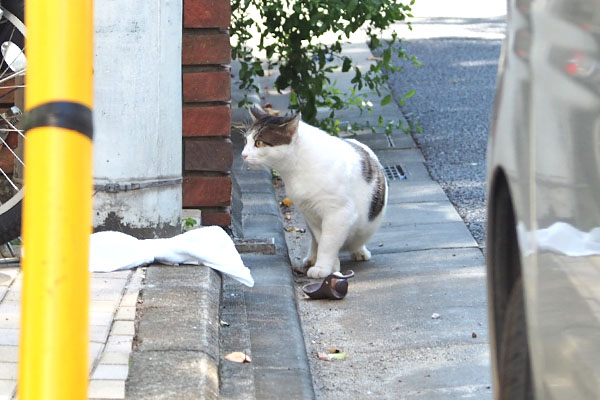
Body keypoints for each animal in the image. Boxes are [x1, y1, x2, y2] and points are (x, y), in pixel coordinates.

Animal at [243, 108, 390, 280]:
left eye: (259, 143)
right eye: (246, 141)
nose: (243, 154)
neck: (295, 169)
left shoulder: (338, 214)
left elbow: (328, 243)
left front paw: (322, 268)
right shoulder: (310, 213)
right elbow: (322, 240)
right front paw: (331, 265)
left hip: (366, 225)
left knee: (357, 240)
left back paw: (359, 252)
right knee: (315, 240)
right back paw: (312, 258)